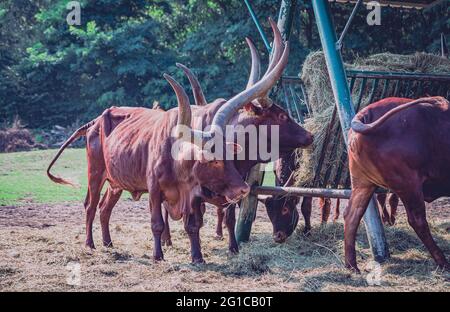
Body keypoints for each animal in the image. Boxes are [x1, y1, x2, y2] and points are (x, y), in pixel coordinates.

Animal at [346, 95, 448, 270]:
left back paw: (351, 265)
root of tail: (364, 114)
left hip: (362, 184)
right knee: (417, 220)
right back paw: (443, 262)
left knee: (352, 216)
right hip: (408, 185)